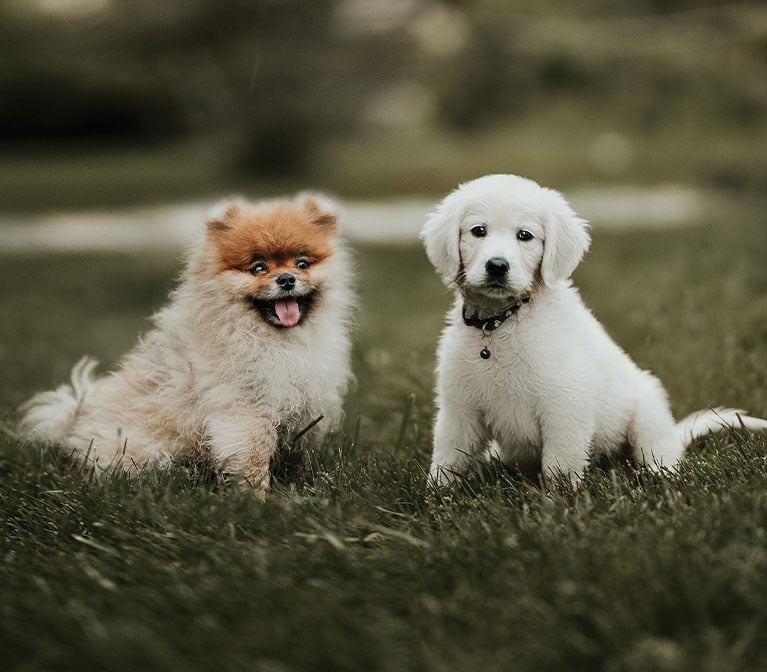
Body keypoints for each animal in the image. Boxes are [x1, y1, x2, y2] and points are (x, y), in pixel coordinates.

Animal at [424, 173, 764, 486]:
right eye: (478, 231)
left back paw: (660, 475)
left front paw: (558, 501)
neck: (500, 324)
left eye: (525, 235)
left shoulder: (565, 403)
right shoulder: (458, 409)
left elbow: (560, 464)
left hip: (647, 410)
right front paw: (436, 497)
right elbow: (447, 458)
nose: (497, 266)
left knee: (659, 452)